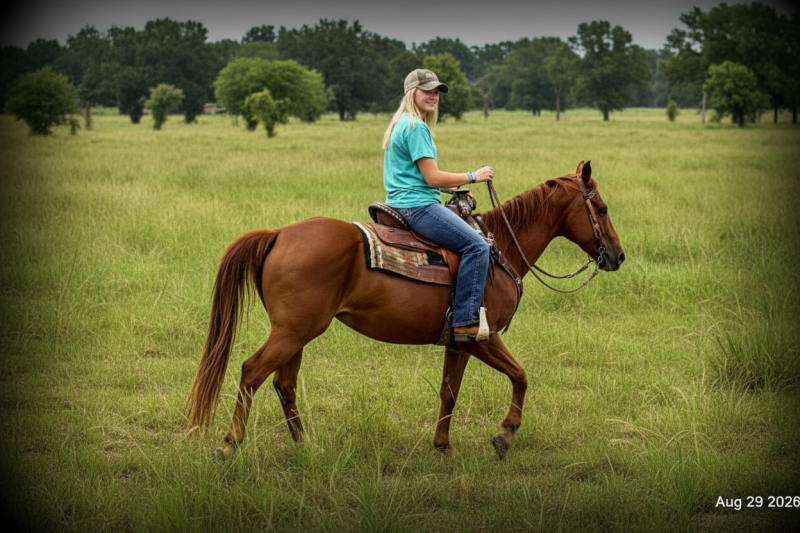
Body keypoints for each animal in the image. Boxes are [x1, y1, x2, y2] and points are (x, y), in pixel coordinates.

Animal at [187, 160, 625, 460]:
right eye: (602, 208)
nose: (618, 256)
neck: (497, 249)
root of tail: (278, 234)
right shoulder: (483, 338)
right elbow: (520, 377)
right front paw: (503, 437)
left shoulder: (460, 343)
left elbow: (449, 392)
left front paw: (443, 446)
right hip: (292, 332)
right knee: (252, 372)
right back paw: (230, 445)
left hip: (298, 333)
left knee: (284, 384)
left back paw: (306, 447)